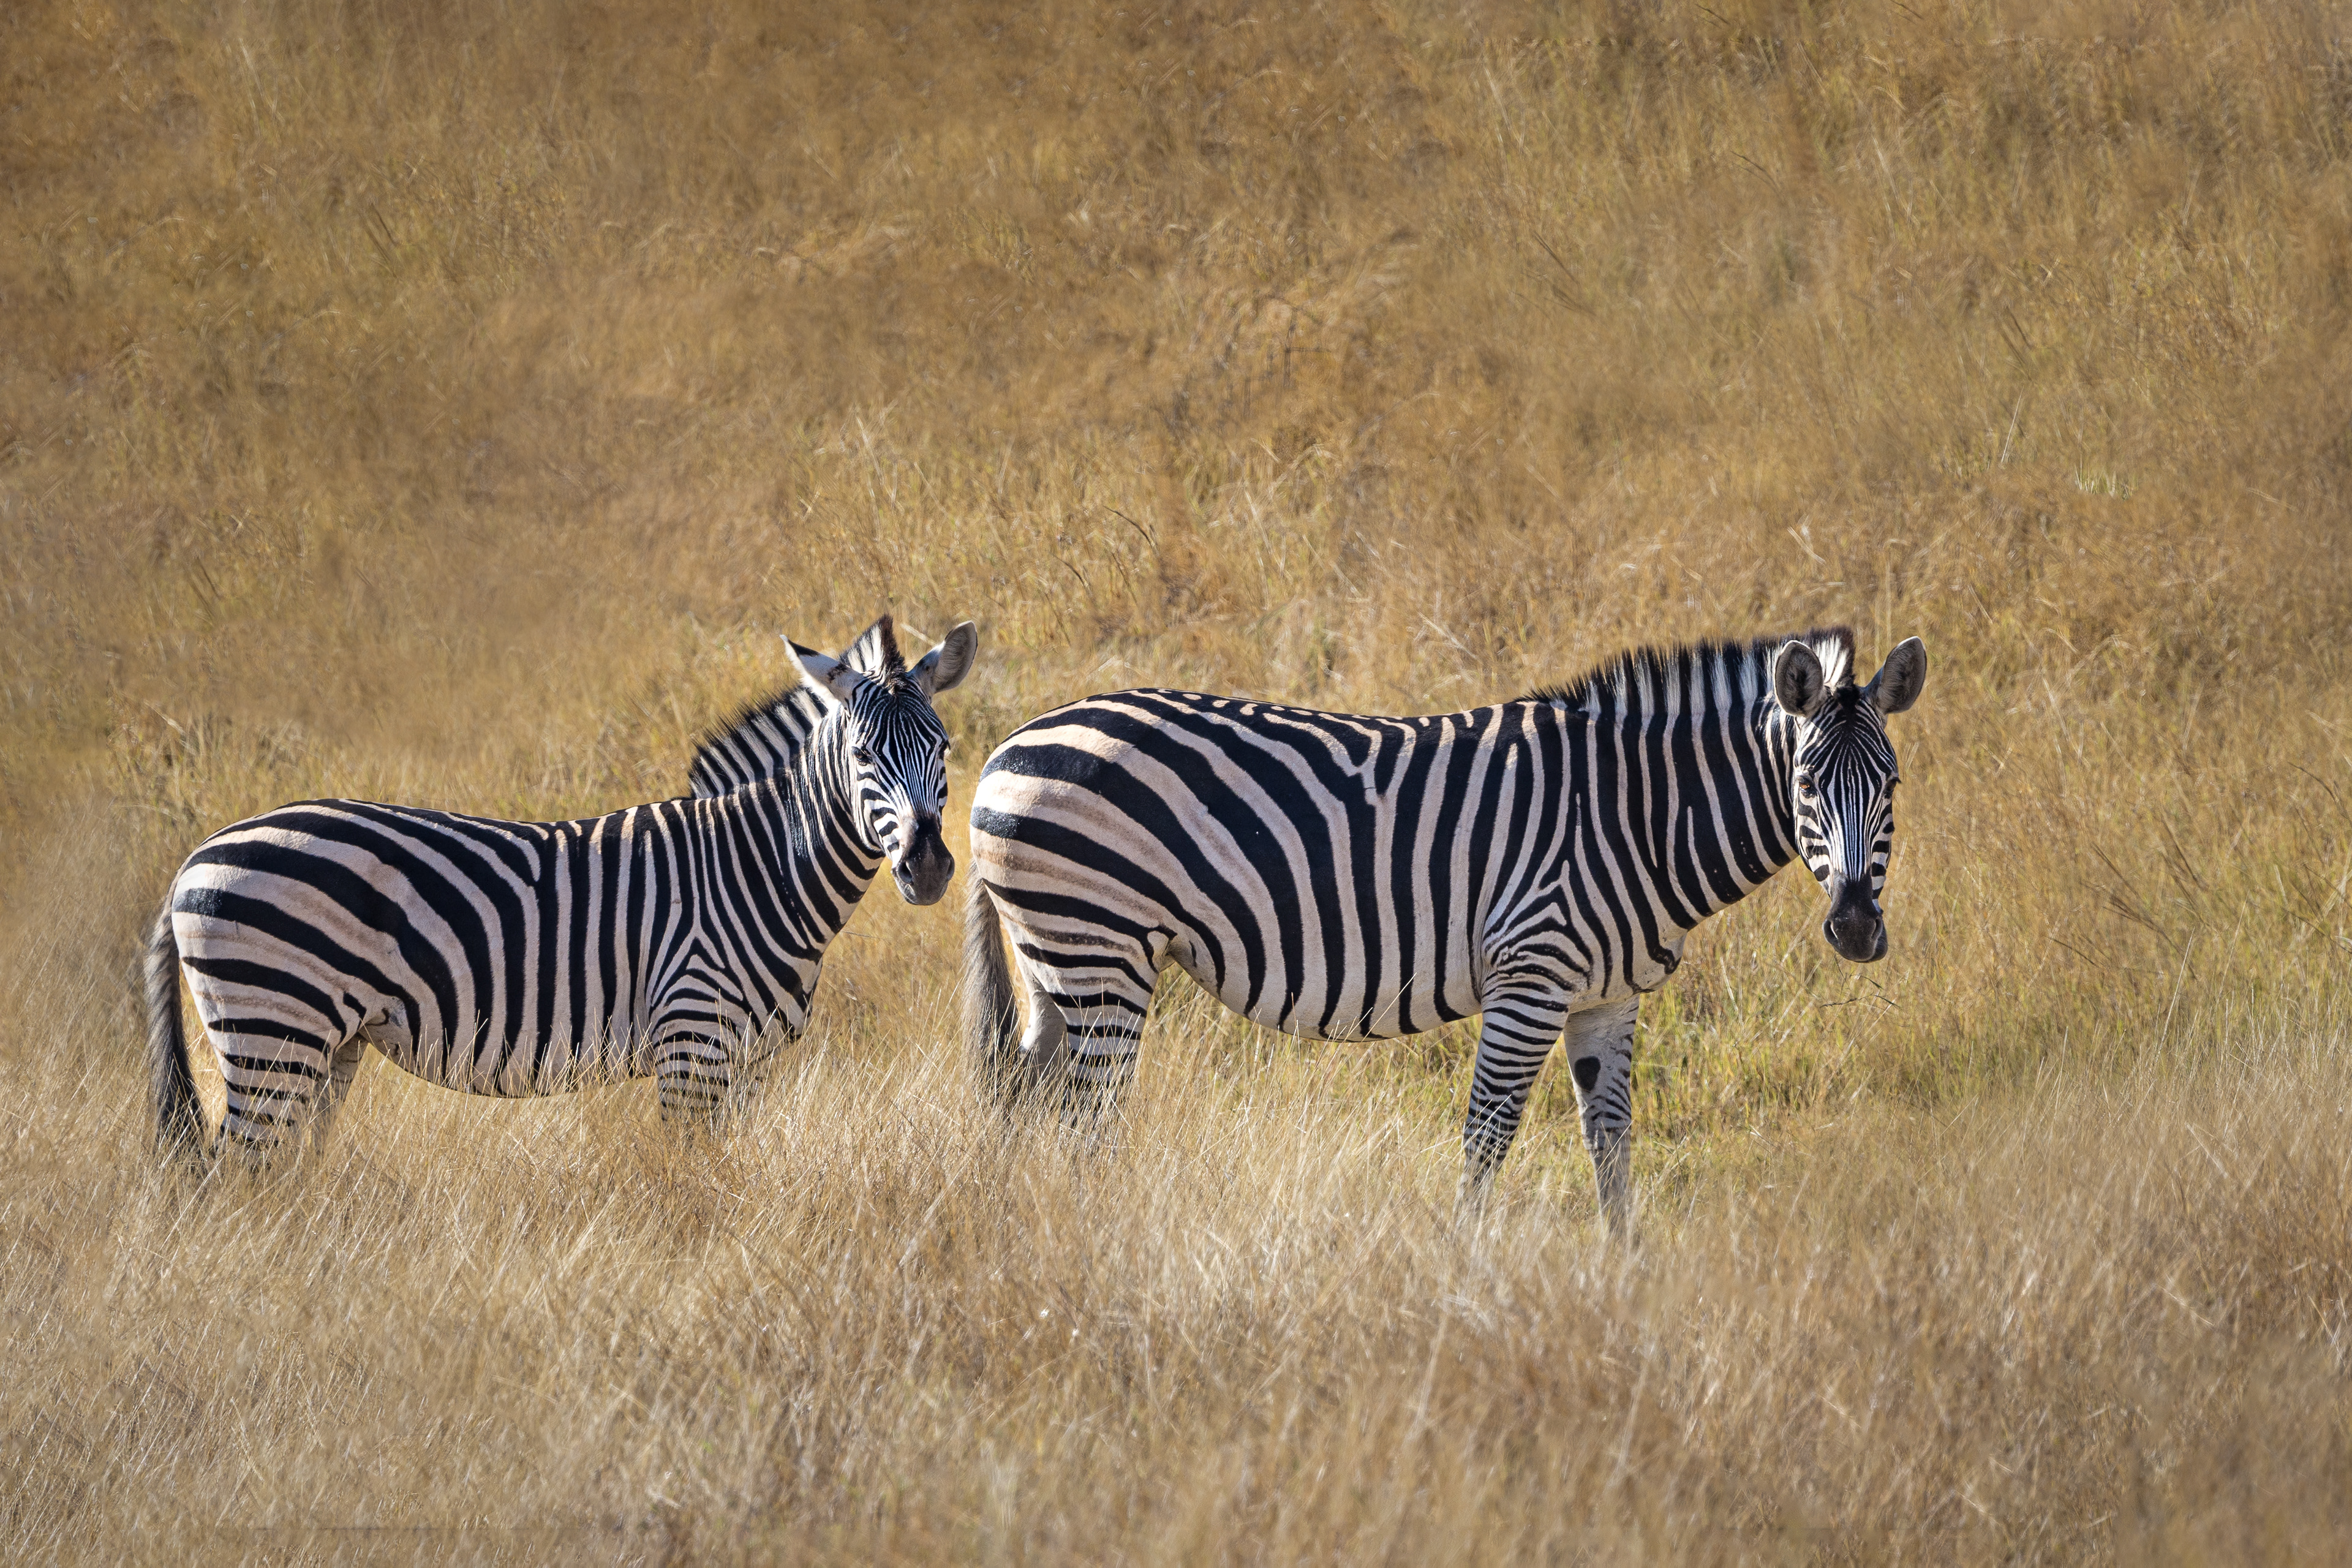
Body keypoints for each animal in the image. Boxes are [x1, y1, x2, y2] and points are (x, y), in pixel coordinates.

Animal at [145, 615, 977, 1163]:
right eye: (864, 754)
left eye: (943, 747)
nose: (929, 866)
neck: (758, 866)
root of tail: (194, 858)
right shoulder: (693, 1042)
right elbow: (690, 1177)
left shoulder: (749, 1061)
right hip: (270, 1029)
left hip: (324, 1044)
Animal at [962, 627, 1925, 1232]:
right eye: (1808, 784)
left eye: (1893, 785)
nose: (1855, 929)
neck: (1635, 812)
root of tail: (1004, 749)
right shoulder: (1532, 974)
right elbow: (1487, 1136)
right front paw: (1465, 1268)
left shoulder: (1607, 998)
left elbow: (1609, 1142)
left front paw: (1624, 1272)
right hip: (1102, 953)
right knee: (1089, 1121)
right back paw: (1099, 1237)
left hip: (1055, 959)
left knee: (1026, 1099)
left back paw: (1030, 1232)